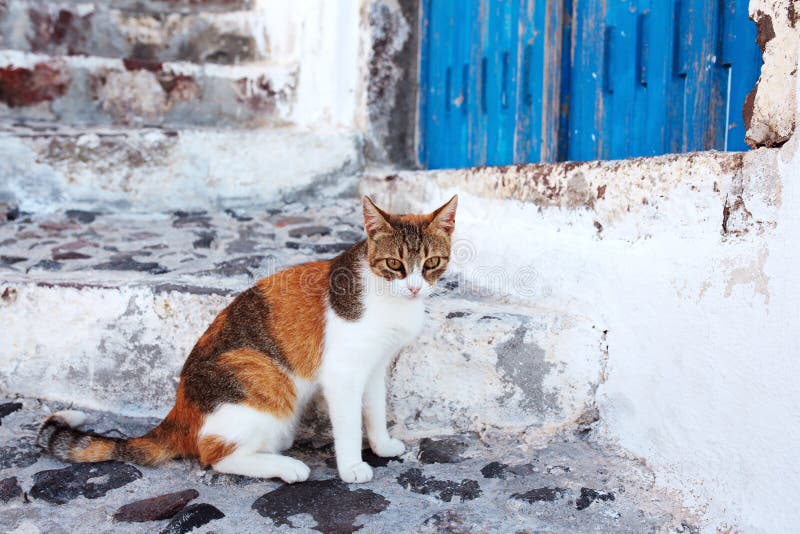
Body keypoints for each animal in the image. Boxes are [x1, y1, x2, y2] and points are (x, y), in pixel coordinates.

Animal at [37, 196, 460, 486]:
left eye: (431, 263)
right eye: (394, 264)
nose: (414, 287)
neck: (385, 298)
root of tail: (179, 413)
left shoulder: (373, 367)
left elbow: (373, 411)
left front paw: (382, 445)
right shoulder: (342, 374)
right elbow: (348, 425)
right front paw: (353, 466)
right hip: (260, 377)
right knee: (214, 454)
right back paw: (287, 468)